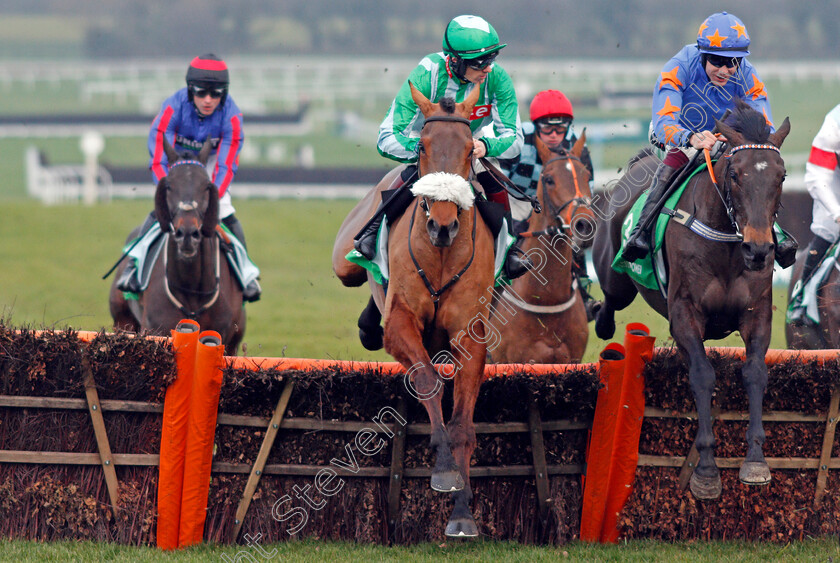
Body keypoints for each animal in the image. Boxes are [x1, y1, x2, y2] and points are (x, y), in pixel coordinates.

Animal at [110, 139, 244, 354]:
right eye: (169, 186)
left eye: (206, 186)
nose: (187, 234)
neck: (192, 288)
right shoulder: (156, 329)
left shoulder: (223, 335)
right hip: (122, 320)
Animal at [332, 83, 496, 536]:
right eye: (422, 146)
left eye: (469, 151)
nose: (443, 225)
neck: (440, 254)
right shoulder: (402, 323)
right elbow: (428, 382)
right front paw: (443, 469)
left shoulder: (470, 334)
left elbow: (463, 423)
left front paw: (462, 512)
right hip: (344, 260)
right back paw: (367, 322)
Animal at [592, 103, 788, 500]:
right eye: (736, 175)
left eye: (782, 176)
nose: (759, 250)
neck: (727, 243)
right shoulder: (684, 313)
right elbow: (701, 375)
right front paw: (707, 471)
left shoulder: (757, 313)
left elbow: (755, 373)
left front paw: (755, 460)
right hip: (615, 274)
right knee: (609, 299)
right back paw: (602, 322)